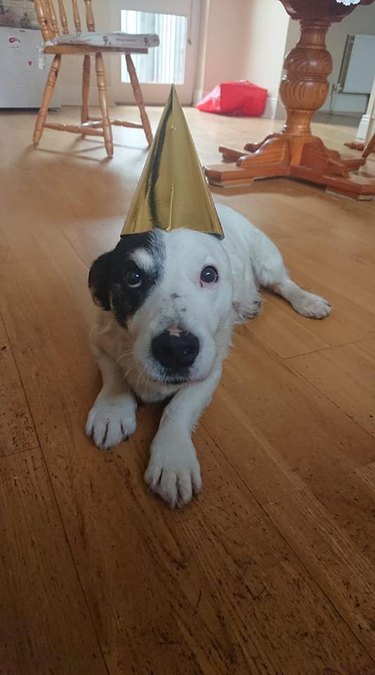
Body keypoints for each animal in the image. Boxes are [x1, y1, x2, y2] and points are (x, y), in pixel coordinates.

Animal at [86, 205, 332, 508]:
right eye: (133, 277)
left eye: (209, 275)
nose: (176, 348)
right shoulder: (99, 339)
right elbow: (114, 376)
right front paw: (112, 410)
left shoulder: (210, 370)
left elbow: (178, 408)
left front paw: (173, 457)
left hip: (266, 259)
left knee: (282, 282)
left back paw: (306, 300)